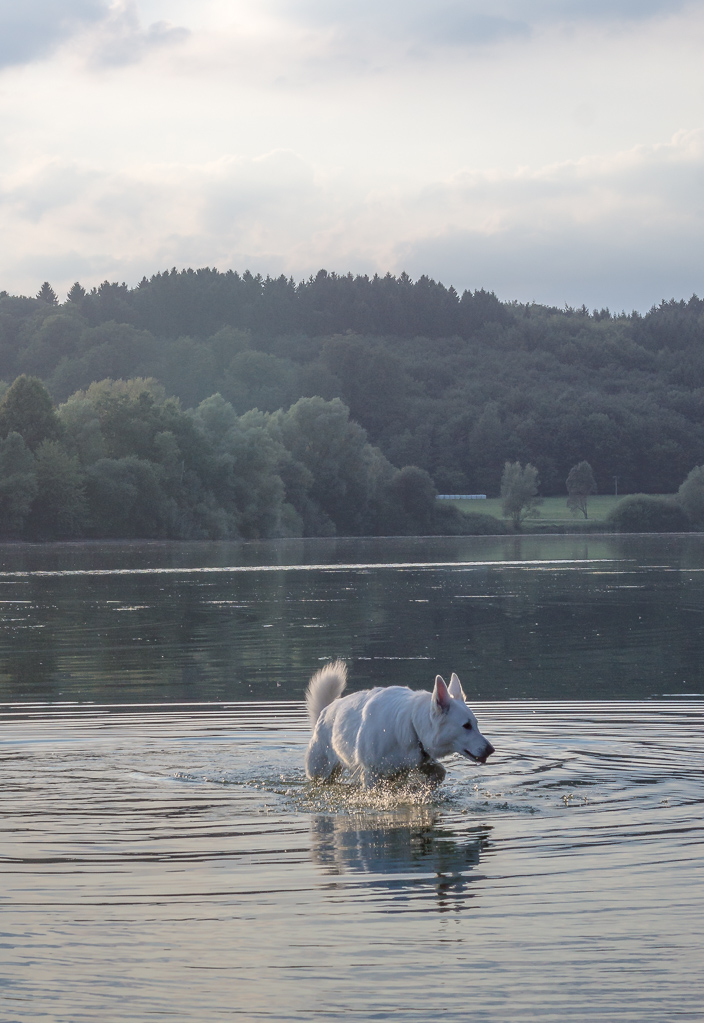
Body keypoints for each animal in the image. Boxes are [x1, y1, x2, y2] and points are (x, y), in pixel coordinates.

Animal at [304, 661, 494, 788]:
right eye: (466, 726)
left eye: (476, 724)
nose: (491, 750)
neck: (412, 726)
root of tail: (326, 710)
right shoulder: (371, 775)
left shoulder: (411, 767)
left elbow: (439, 773)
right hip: (320, 770)